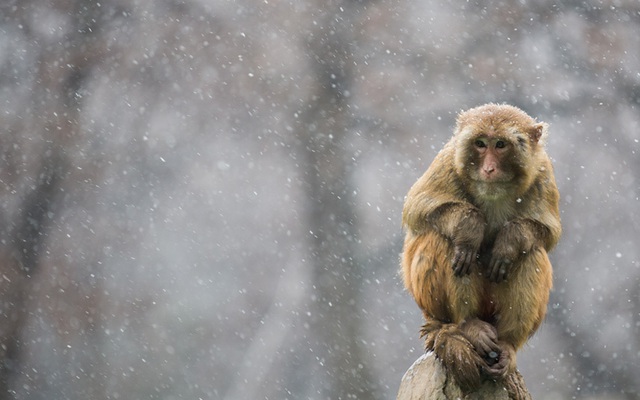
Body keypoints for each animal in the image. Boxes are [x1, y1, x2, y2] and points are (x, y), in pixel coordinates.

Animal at [400, 103, 560, 390]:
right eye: (480, 144)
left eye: (501, 145)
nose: (488, 169)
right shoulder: (447, 162)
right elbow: (416, 210)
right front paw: (470, 228)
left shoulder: (543, 174)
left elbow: (549, 234)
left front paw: (509, 241)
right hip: (431, 304)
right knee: (445, 241)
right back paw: (468, 326)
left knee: (532, 253)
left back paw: (507, 345)